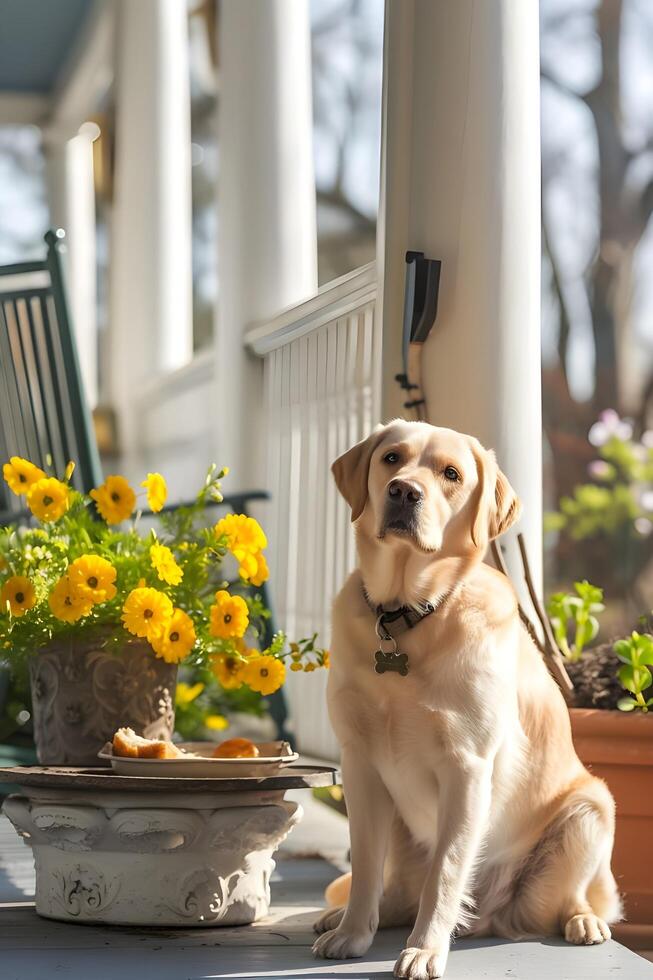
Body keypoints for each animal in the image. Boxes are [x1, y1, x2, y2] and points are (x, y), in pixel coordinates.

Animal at [314, 422, 620, 980]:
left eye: (451, 474)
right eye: (392, 459)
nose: (404, 492)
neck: (407, 616)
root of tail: (492, 917)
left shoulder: (467, 768)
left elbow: (447, 871)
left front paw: (425, 950)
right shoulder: (359, 765)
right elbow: (364, 864)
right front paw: (351, 934)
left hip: (590, 809)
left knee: (570, 899)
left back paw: (583, 921)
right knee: (397, 891)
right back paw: (342, 917)